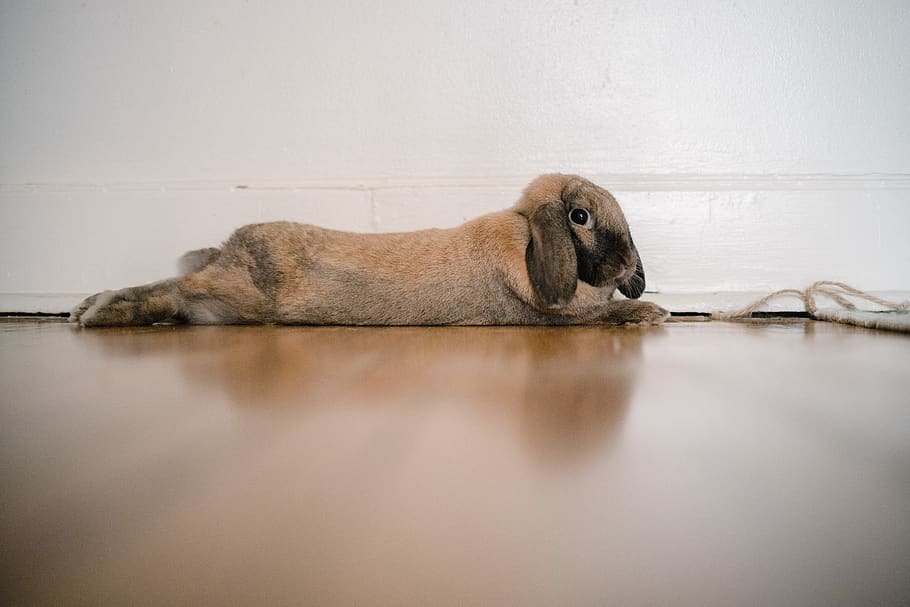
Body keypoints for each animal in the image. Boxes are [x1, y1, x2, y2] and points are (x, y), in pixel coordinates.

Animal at [70, 173, 669, 327]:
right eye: (578, 217)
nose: (626, 268)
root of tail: (228, 249)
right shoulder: (547, 318)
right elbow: (602, 316)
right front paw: (652, 311)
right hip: (239, 292)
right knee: (170, 289)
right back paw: (96, 310)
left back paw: (88, 304)